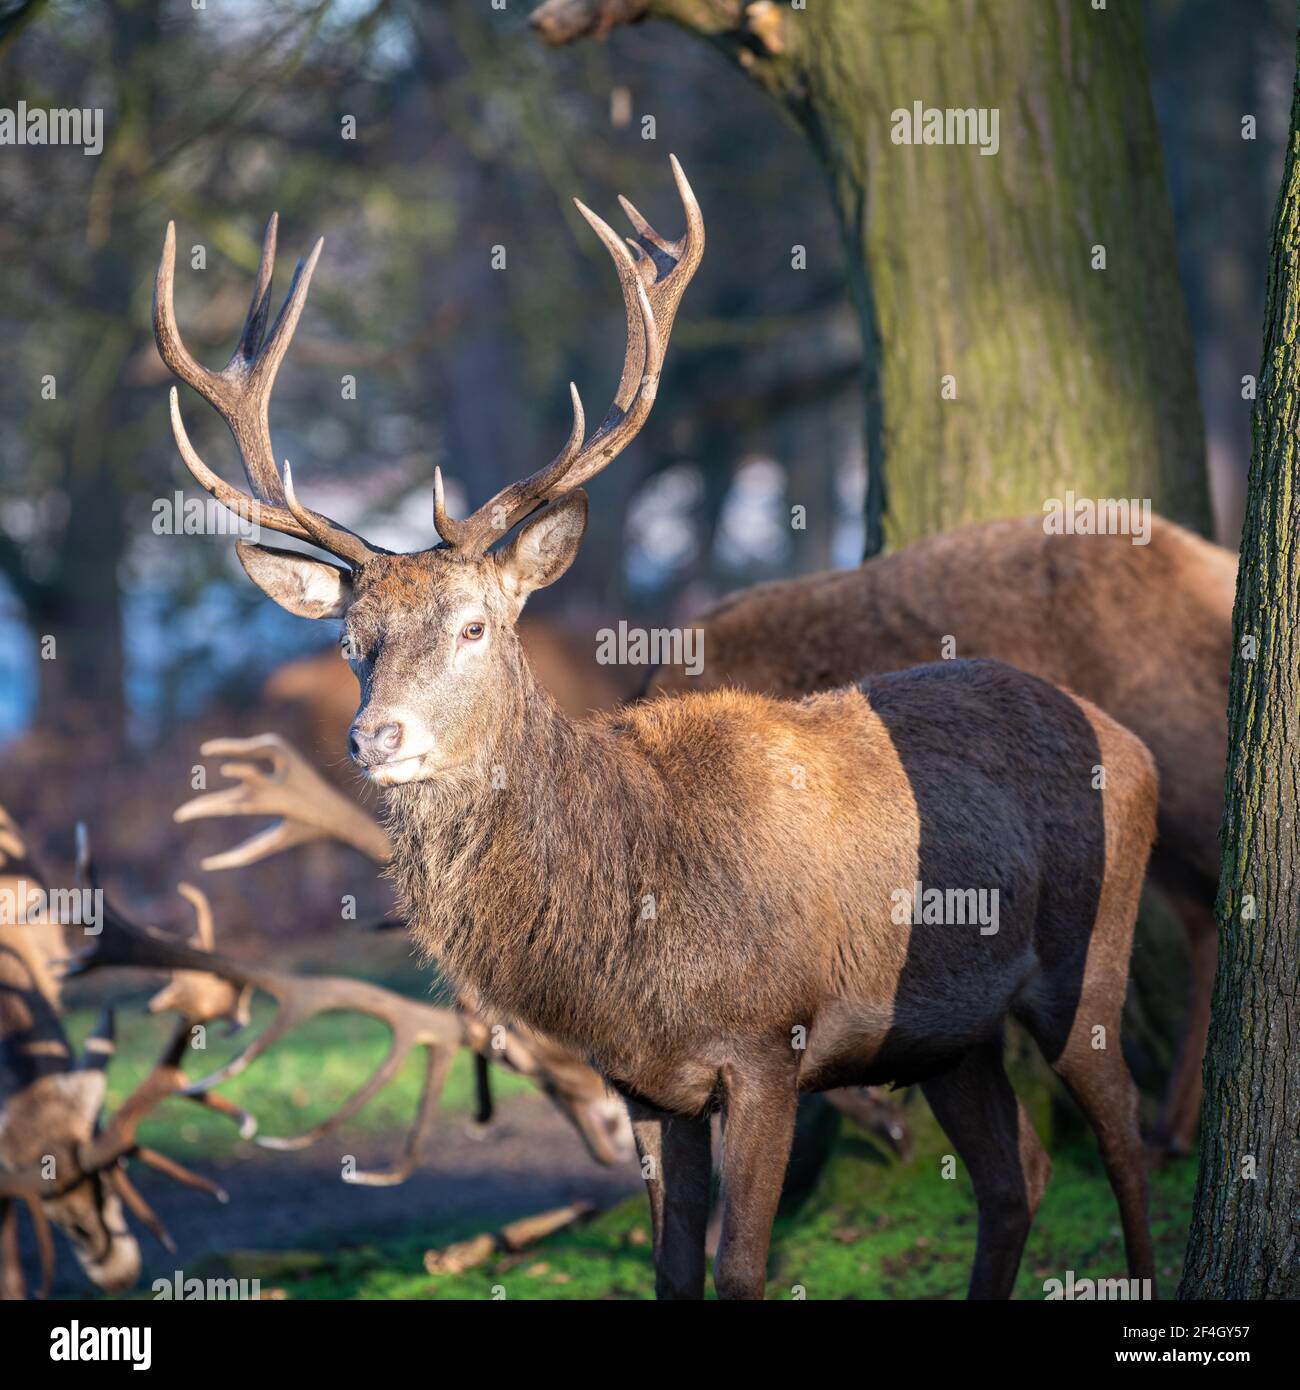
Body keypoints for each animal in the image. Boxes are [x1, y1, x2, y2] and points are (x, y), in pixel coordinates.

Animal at [152, 157, 1159, 1300]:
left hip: (1089, 955)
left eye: (475, 624)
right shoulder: (639, 1080)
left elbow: (740, 1267)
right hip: (949, 1036)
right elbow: (672, 1269)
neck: (633, 934)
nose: (376, 739)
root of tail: (1129, 745)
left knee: (1122, 1138)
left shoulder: (771, 1042)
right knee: (1016, 1172)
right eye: (351, 640)